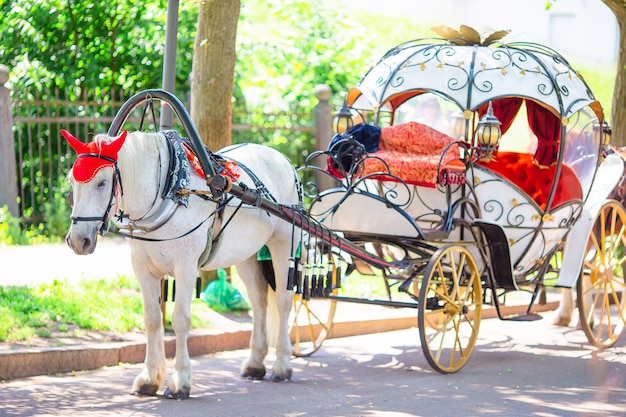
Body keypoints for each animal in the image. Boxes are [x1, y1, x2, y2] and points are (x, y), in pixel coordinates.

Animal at [61, 130, 300, 396]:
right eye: (72, 181)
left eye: (102, 182)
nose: (78, 240)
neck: (171, 190)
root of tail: (282, 159)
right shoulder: (142, 269)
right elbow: (152, 319)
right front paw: (149, 377)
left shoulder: (186, 267)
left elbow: (180, 320)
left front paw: (180, 381)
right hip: (245, 254)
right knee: (259, 300)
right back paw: (255, 363)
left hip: (283, 243)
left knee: (283, 301)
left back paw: (282, 365)